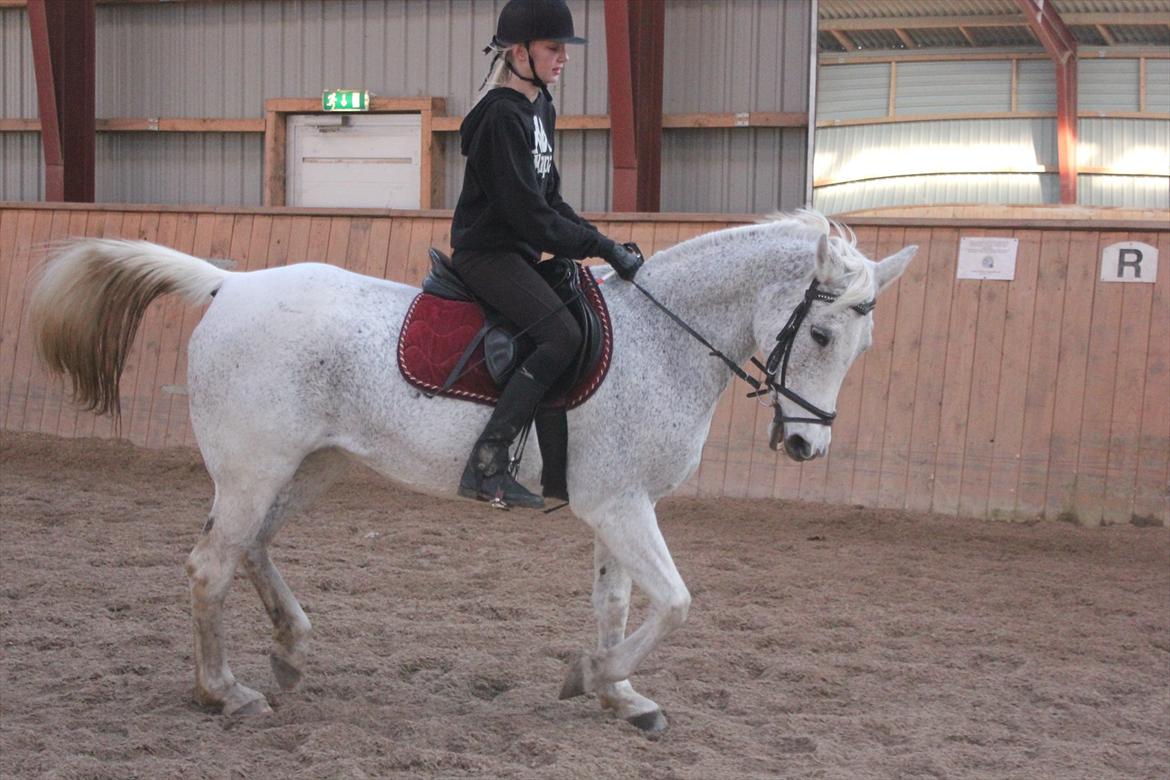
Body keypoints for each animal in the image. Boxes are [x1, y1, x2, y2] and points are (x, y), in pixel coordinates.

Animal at [27, 211, 915, 733]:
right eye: (823, 335)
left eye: (864, 344)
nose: (805, 449)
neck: (661, 341)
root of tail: (231, 283)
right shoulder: (620, 505)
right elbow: (675, 603)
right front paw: (594, 675)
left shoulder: (618, 506)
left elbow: (618, 601)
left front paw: (620, 695)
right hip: (255, 470)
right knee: (210, 564)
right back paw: (225, 691)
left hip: (308, 467)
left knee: (250, 548)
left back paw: (289, 651)